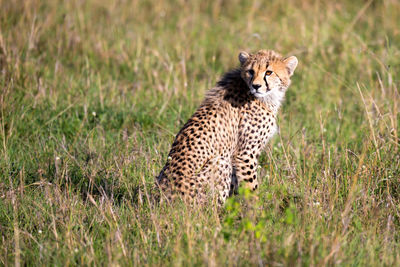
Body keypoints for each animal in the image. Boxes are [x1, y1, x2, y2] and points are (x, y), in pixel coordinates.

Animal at [156, 49, 296, 205]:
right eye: (251, 71)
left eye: (269, 72)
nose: (256, 86)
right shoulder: (244, 154)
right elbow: (251, 187)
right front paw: (257, 207)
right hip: (220, 161)